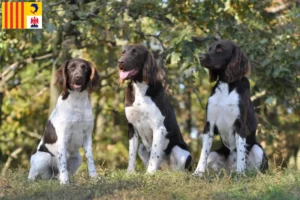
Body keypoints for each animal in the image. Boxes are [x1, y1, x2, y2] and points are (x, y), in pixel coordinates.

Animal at [118, 44, 192, 173]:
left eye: (135, 53)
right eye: (123, 52)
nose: (120, 62)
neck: (140, 88)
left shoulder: (159, 128)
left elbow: (154, 153)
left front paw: (150, 173)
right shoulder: (132, 127)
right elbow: (131, 154)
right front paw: (130, 172)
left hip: (179, 150)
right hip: (142, 147)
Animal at [193, 39, 268, 177]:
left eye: (219, 49)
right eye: (209, 48)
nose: (200, 56)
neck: (226, 84)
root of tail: (229, 170)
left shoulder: (240, 125)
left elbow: (241, 153)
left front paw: (240, 173)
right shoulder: (209, 124)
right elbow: (203, 153)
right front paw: (198, 173)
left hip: (258, 149)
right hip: (214, 155)